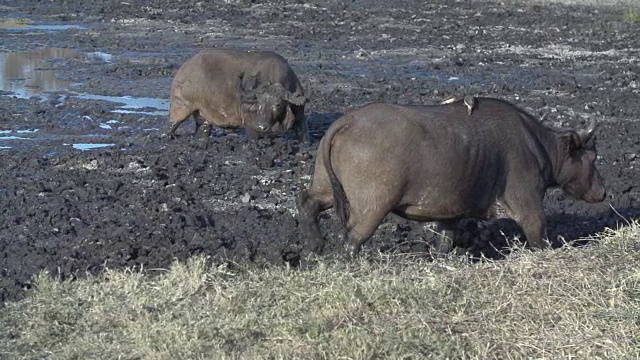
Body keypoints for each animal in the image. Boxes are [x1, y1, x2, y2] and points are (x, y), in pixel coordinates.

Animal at [166, 47, 308, 142]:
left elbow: (303, 133)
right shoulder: (249, 121)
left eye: (278, 105)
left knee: (203, 128)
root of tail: (184, 68)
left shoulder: (299, 115)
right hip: (180, 106)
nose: (261, 126)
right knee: (173, 124)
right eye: (259, 104)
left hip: (203, 118)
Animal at [298, 97, 608, 258]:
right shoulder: (528, 204)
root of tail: (348, 120)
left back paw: (315, 245)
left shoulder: (449, 215)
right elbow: (538, 235)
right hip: (372, 207)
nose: (603, 191)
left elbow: (445, 241)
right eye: (593, 157)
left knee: (309, 203)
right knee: (351, 239)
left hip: (326, 186)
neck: (538, 145)